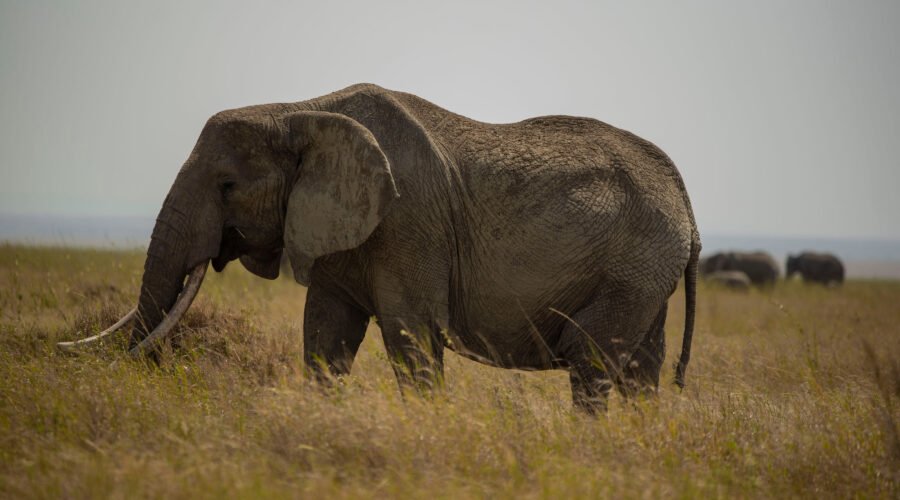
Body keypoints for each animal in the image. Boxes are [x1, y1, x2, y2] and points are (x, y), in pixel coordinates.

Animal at [60, 84, 701, 412]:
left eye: (227, 187)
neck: (296, 111)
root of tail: (685, 199)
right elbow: (325, 333)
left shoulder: (407, 219)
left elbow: (411, 333)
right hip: (646, 272)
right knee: (639, 369)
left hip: (632, 265)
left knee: (590, 360)